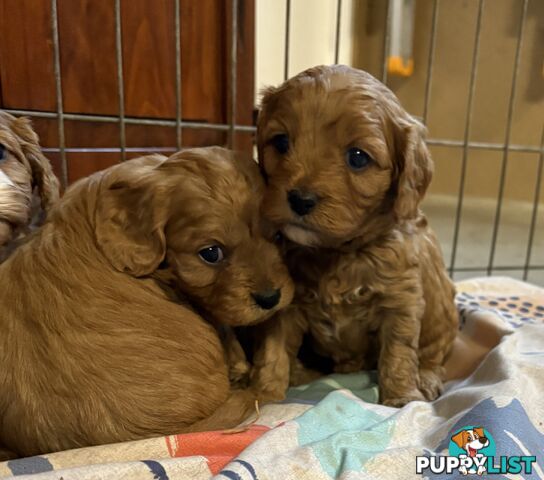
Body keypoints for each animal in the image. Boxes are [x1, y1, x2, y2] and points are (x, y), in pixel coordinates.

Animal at [253, 65, 456, 406]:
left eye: (358, 157)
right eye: (281, 142)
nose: (300, 199)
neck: (337, 253)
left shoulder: (401, 302)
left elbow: (399, 353)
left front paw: (401, 398)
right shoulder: (288, 304)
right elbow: (274, 349)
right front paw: (265, 396)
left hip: (442, 314)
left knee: (434, 355)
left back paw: (427, 379)